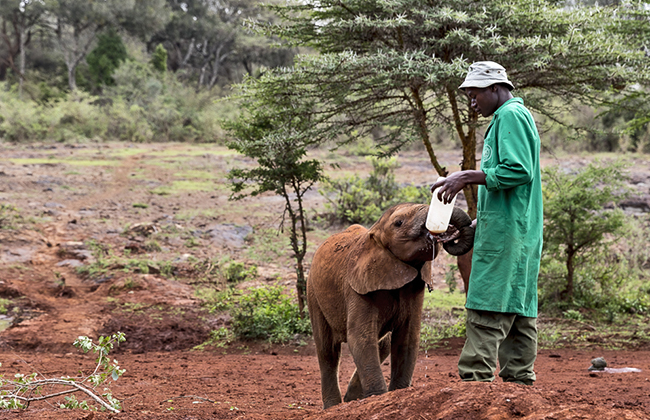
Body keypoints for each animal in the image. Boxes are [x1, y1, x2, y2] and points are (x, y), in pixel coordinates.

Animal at [306, 202, 474, 408]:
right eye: (398, 223)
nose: (445, 234)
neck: (374, 233)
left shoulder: (414, 288)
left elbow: (407, 338)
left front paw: (398, 393)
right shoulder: (356, 287)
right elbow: (360, 338)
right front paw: (378, 397)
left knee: (382, 344)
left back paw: (351, 398)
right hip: (313, 292)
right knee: (327, 350)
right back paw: (334, 406)